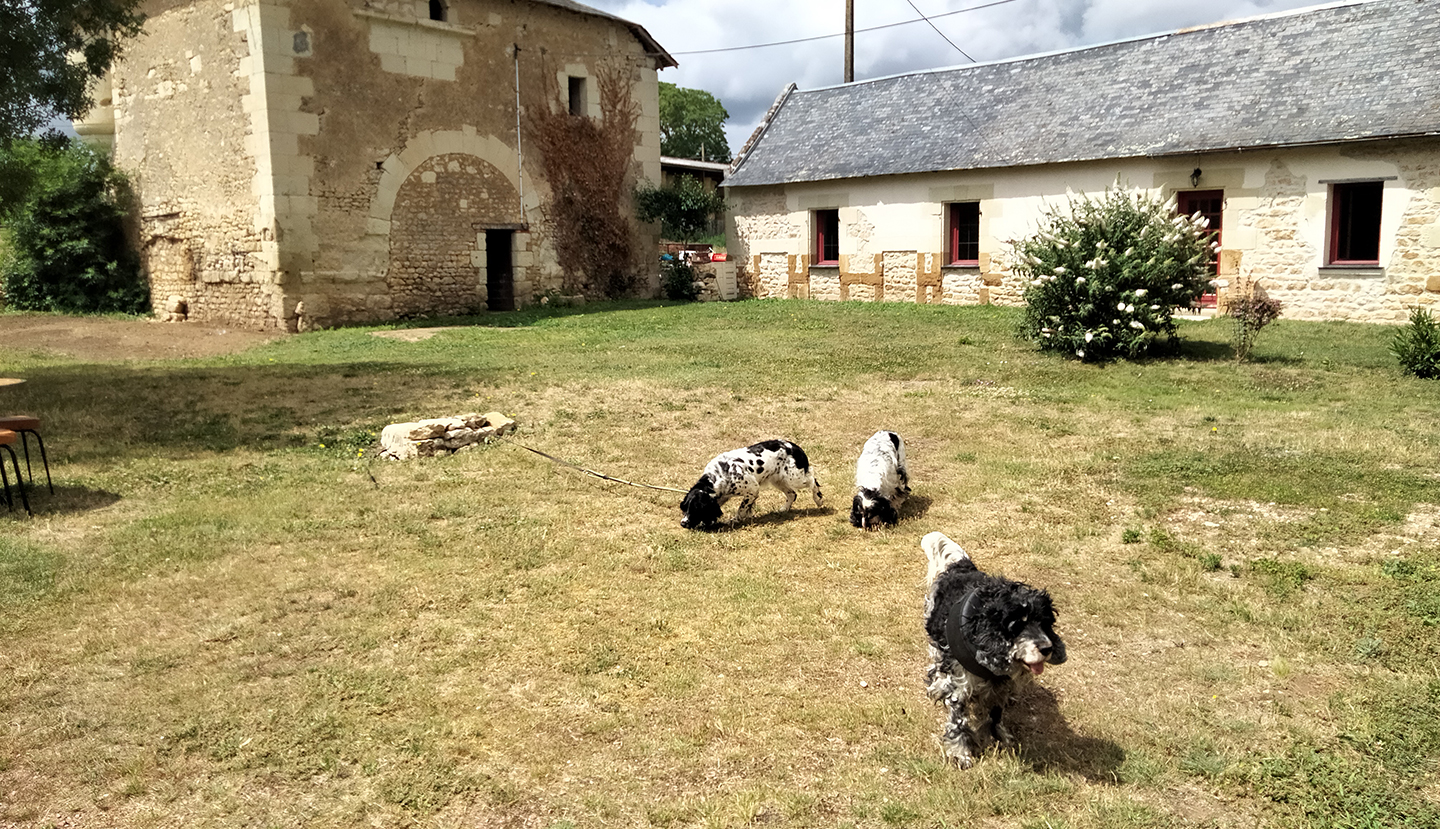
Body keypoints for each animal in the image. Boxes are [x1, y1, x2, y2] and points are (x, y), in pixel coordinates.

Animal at [679, 440, 829, 529]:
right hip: (778, 480)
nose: (683, 523)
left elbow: (741, 509)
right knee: (792, 494)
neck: (719, 474)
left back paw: (818, 499)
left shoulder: (752, 489)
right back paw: (784, 509)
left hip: (795, 477)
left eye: (696, 509)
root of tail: (795, 446)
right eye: (685, 508)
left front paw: (735, 520)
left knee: (812, 479)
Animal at [915, 535, 1065, 765]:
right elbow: (958, 721)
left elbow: (995, 714)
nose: (1047, 648)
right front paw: (961, 752)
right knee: (937, 665)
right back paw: (937, 686)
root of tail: (962, 567)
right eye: (1016, 626)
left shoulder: (1000, 686)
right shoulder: (960, 685)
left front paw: (998, 736)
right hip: (936, 636)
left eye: (1044, 623)